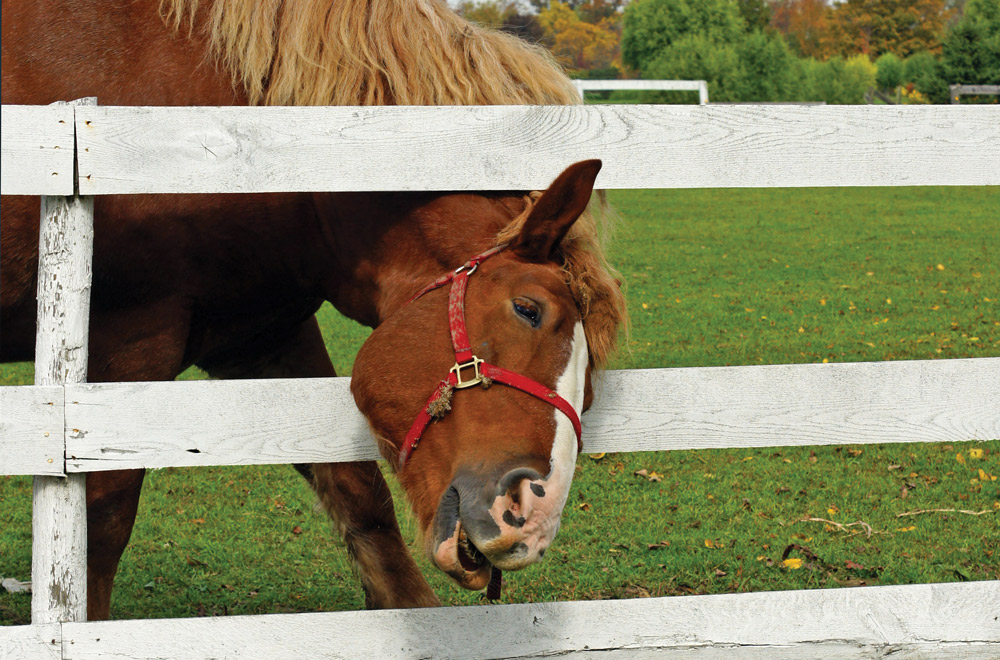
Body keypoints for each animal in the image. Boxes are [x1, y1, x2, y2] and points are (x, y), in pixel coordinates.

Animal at [0, 0, 624, 620]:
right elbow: (102, 524)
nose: (534, 520)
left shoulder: (263, 336)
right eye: (528, 310)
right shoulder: (131, 340)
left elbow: (356, 491)